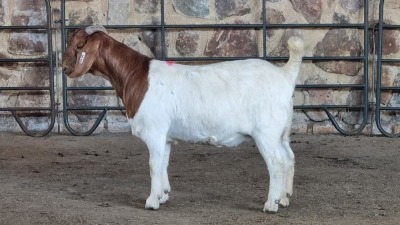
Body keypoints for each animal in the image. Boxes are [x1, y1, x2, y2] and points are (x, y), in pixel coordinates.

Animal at [62, 26, 304, 213]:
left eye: (79, 45)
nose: (63, 67)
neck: (136, 76)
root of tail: (285, 75)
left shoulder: (155, 131)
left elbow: (153, 165)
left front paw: (151, 201)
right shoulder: (166, 137)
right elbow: (163, 163)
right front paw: (163, 195)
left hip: (266, 132)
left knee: (276, 163)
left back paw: (271, 204)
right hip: (282, 133)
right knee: (289, 158)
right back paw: (284, 198)